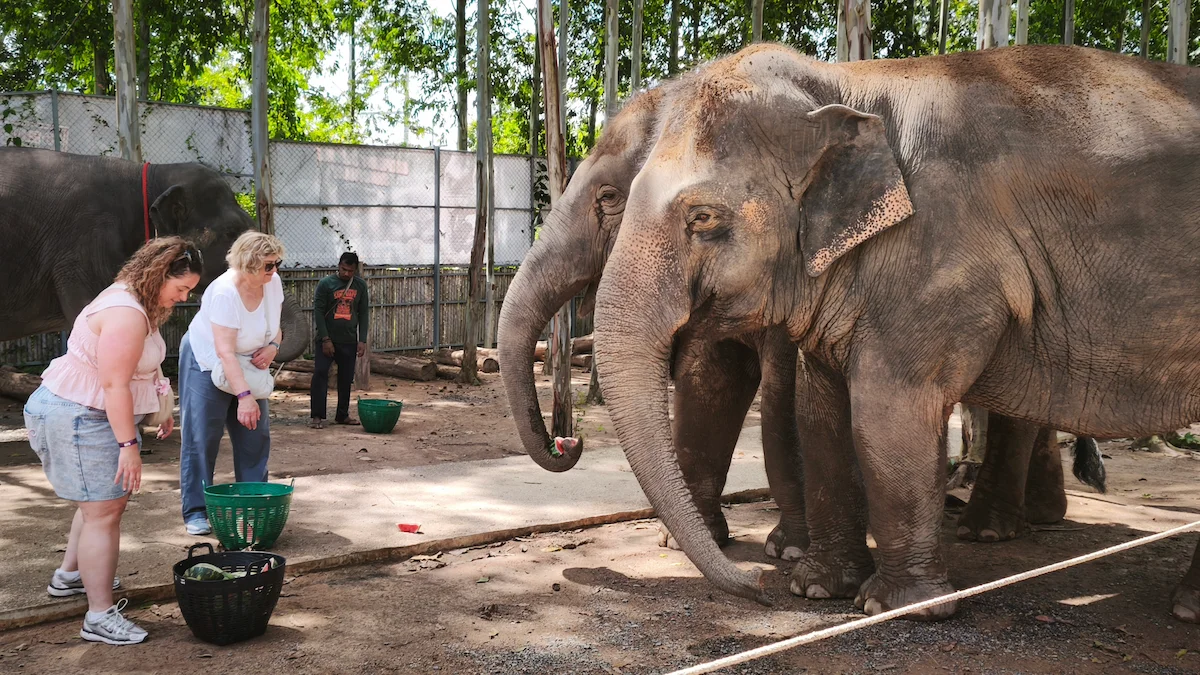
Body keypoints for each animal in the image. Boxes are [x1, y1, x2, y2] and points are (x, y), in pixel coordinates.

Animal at [593, 43, 1200, 622]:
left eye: (703, 218)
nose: (758, 586)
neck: (847, 83)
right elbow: (820, 410)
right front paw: (818, 589)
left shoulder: (936, 261)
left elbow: (888, 410)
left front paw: (897, 608)